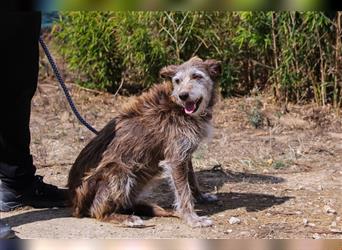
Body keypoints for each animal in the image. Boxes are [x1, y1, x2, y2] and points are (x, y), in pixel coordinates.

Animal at [67, 57, 222, 229]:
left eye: (197, 76)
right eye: (177, 81)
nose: (183, 95)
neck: (177, 107)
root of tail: (75, 203)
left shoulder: (184, 153)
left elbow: (191, 179)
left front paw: (201, 197)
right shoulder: (176, 158)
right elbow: (183, 192)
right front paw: (192, 219)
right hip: (118, 170)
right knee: (97, 211)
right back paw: (126, 218)